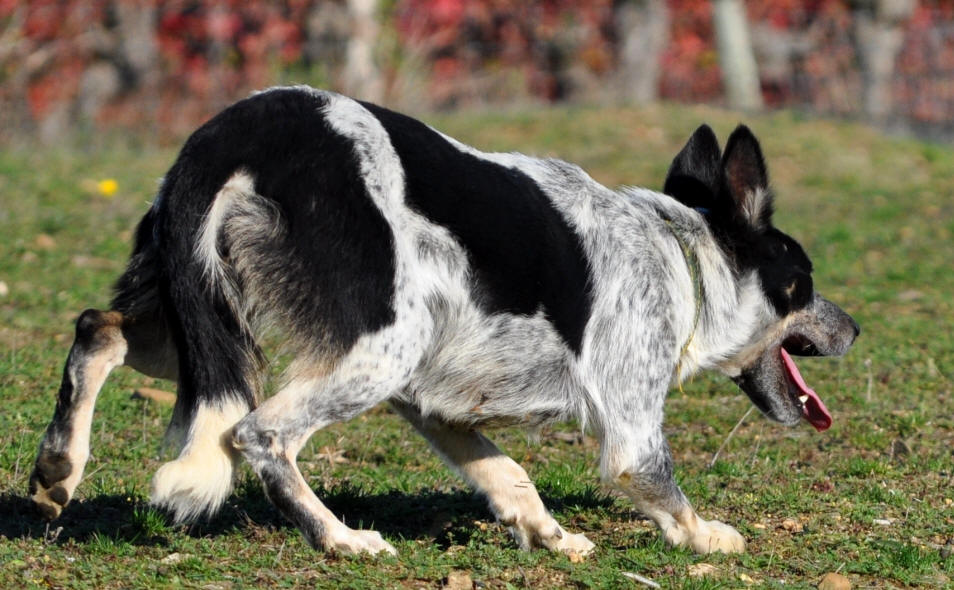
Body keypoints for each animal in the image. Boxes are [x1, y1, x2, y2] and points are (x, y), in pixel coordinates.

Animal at [27, 85, 856, 556]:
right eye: (805, 284)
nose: (852, 328)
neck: (685, 257)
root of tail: (233, 134)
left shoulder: (437, 407)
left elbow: (509, 475)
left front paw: (550, 536)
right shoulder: (631, 428)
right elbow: (662, 490)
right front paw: (709, 538)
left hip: (207, 320)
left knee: (97, 329)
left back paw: (58, 470)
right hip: (368, 347)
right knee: (257, 433)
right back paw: (340, 539)